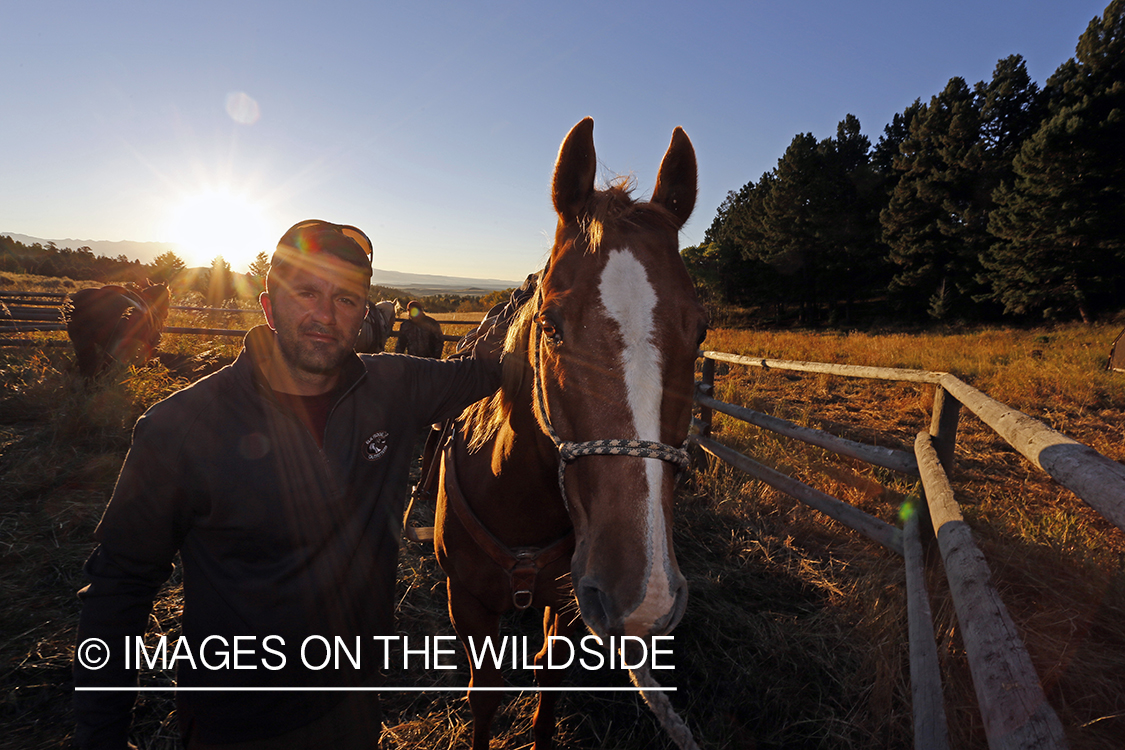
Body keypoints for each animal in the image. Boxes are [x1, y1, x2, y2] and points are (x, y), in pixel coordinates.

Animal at [434, 118, 706, 750]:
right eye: (551, 326)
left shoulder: (565, 600)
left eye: (701, 330)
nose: (644, 594)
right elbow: (484, 696)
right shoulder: (469, 603)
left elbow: (549, 685)